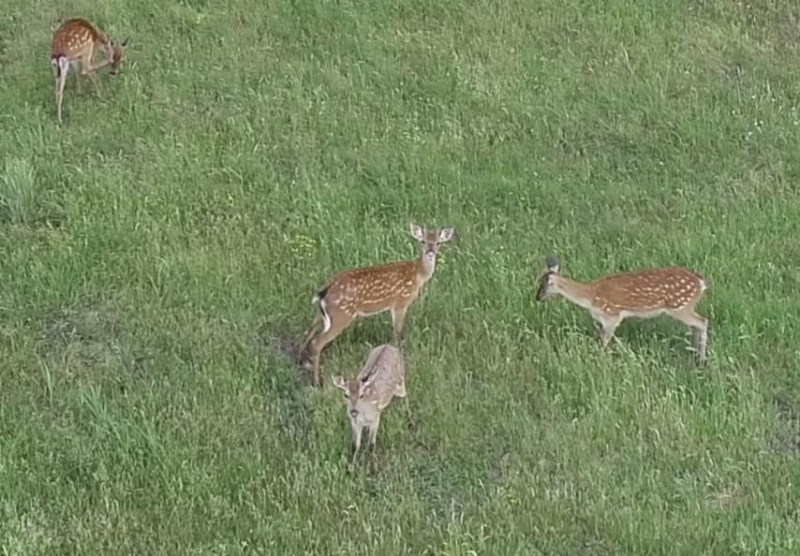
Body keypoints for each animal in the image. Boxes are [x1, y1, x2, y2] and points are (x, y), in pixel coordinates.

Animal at [299, 223, 454, 387]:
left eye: (438, 243)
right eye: (423, 241)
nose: (430, 252)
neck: (417, 275)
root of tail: (323, 291)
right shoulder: (400, 302)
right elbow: (398, 333)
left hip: (322, 314)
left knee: (308, 332)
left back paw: (301, 362)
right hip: (341, 315)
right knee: (317, 342)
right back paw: (317, 382)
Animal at [535, 256, 708, 361]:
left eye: (543, 285)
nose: (537, 297)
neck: (590, 296)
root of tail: (701, 283)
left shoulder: (612, 316)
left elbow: (603, 342)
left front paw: (599, 361)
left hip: (679, 306)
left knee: (702, 321)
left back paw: (701, 358)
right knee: (697, 324)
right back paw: (694, 353)